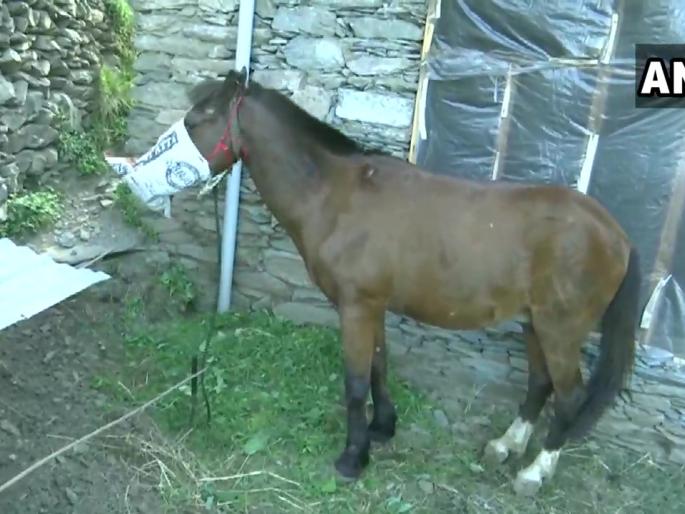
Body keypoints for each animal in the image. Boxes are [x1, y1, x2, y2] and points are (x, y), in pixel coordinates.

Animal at [181, 67, 640, 497]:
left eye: (194, 121)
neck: (338, 196)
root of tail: (615, 232)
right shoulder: (372, 306)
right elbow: (379, 365)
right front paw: (383, 428)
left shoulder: (356, 306)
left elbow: (355, 381)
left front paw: (353, 456)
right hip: (535, 323)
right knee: (540, 383)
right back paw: (505, 445)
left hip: (559, 329)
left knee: (569, 396)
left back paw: (535, 471)